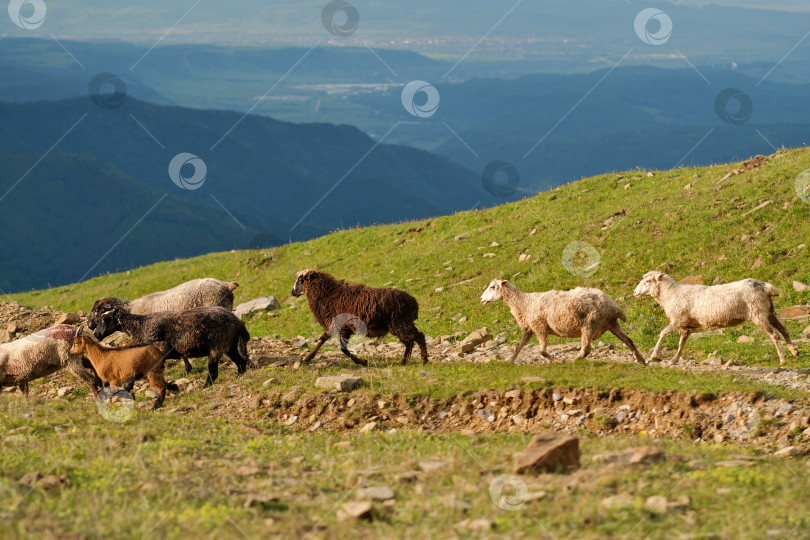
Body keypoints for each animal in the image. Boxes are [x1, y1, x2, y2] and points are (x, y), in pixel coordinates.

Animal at [92, 306, 248, 386]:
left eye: (105, 319)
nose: (96, 334)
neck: (140, 326)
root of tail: (237, 322)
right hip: (230, 345)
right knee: (241, 361)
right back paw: (239, 375)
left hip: (216, 346)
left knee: (213, 371)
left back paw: (206, 385)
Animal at [290, 270, 430, 368]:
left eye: (300, 280)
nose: (292, 292)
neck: (327, 295)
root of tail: (413, 301)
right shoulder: (335, 326)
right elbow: (321, 340)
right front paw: (307, 358)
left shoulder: (343, 327)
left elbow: (343, 349)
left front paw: (362, 361)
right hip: (398, 324)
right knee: (409, 342)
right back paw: (403, 362)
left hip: (399, 323)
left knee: (418, 337)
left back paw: (423, 361)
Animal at [480, 280, 644, 364]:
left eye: (492, 287)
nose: (481, 299)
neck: (524, 302)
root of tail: (612, 306)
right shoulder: (530, 329)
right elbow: (518, 347)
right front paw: (510, 361)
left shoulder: (540, 328)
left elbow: (542, 351)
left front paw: (557, 360)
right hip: (612, 324)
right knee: (629, 341)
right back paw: (641, 359)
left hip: (589, 324)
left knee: (586, 349)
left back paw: (574, 361)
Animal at [632, 272, 796, 364]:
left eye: (648, 281)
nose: (634, 292)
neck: (671, 294)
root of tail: (765, 286)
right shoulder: (686, 326)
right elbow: (681, 344)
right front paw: (674, 360)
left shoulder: (678, 320)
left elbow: (663, 333)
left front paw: (654, 355)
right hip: (769, 311)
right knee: (784, 330)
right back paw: (794, 351)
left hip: (758, 314)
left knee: (775, 335)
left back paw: (783, 359)